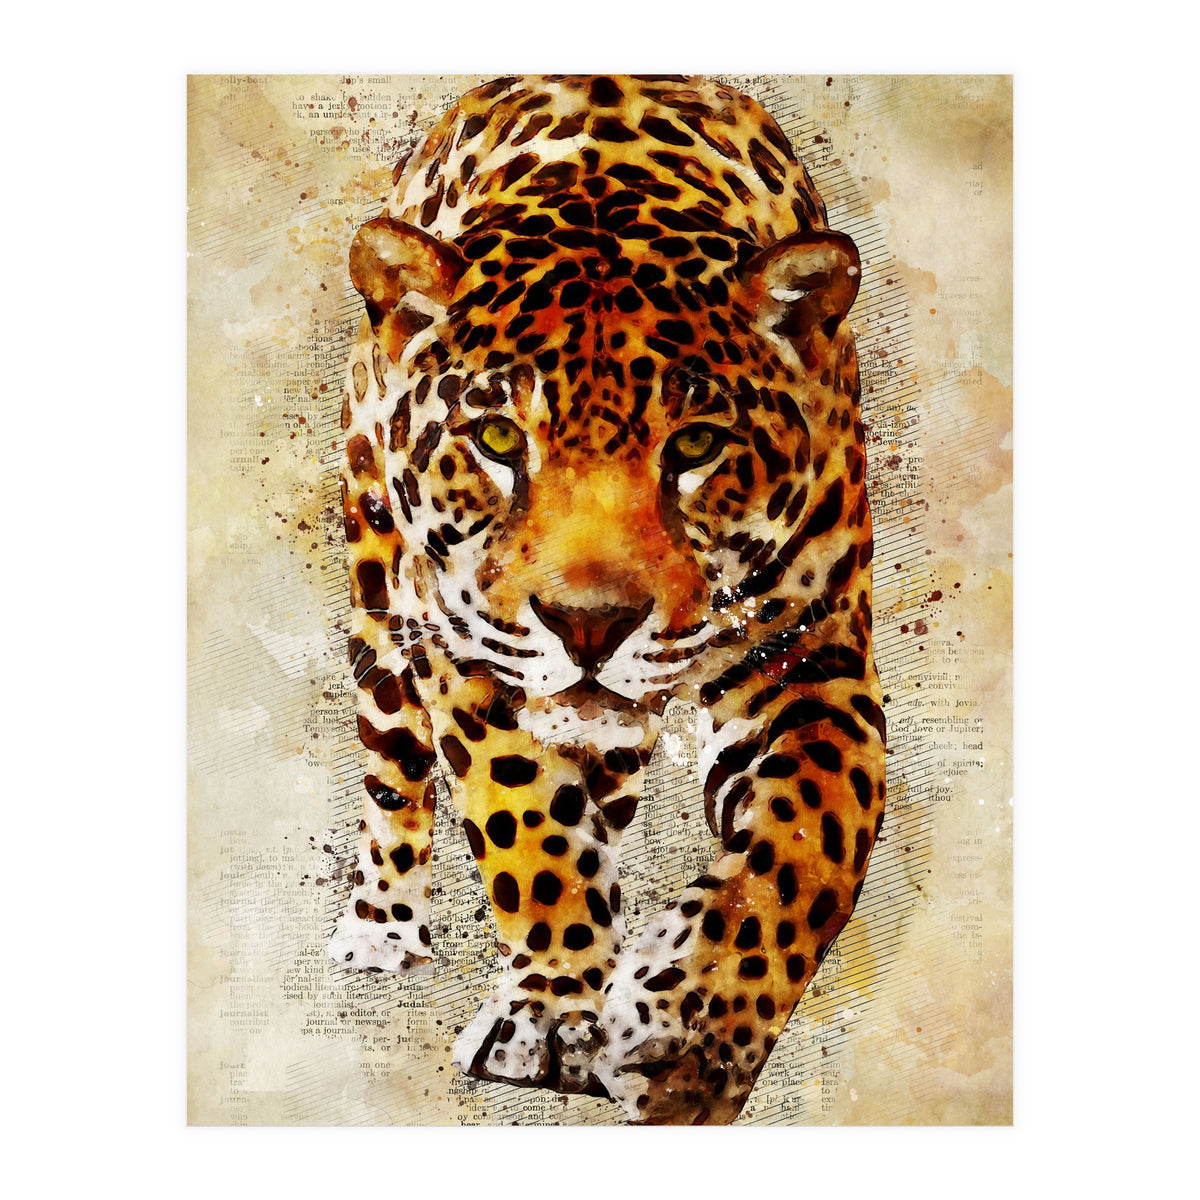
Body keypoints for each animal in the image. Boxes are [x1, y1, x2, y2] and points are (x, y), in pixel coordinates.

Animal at [329, 74, 886, 1125]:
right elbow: (524, 819)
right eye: (497, 440)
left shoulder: (814, 659)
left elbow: (804, 847)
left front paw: (687, 1038)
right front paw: (551, 1010)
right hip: (380, 598)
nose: (590, 624)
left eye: (698, 444)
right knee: (392, 764)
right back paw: (383, 923)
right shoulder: (470, 653)